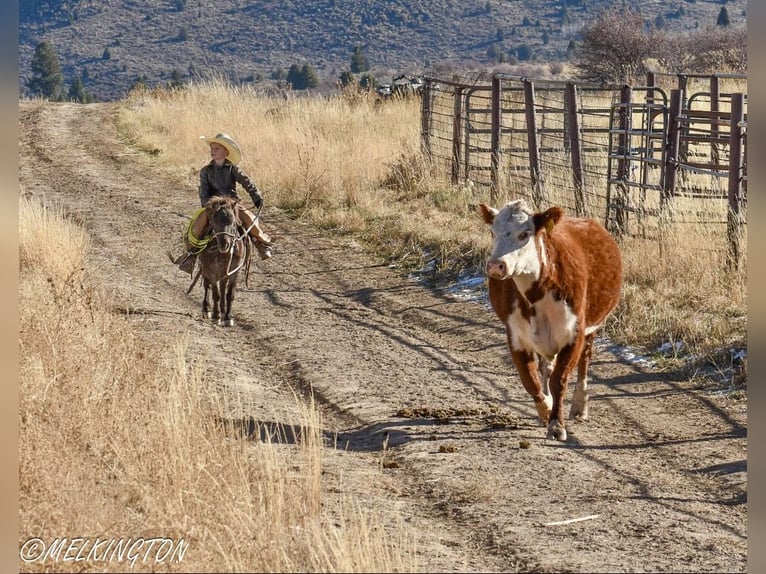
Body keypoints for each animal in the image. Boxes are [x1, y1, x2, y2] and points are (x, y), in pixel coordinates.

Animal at [192, 196, 252, 326]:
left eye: (233, 221)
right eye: (214, 221)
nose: (224, 245)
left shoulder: (235, 271)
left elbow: (229, 294)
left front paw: (228, 317)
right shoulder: (212, 272)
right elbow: (216, 294)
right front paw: (216, 315)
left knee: (223, 286)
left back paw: (223, 309)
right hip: (206, 269)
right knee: (207, 286)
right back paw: (207, 309)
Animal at [484, 200, 628, 444]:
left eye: (525, 234)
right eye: (492, 232)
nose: (496, 265)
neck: (537, 295)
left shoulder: (574, 334)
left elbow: (559, 380)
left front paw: (556, 425)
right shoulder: (515, 336)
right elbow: (530, 380)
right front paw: (545, 410)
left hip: (592, 327)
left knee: (584, 362)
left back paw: (579, 406)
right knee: (546, 367)